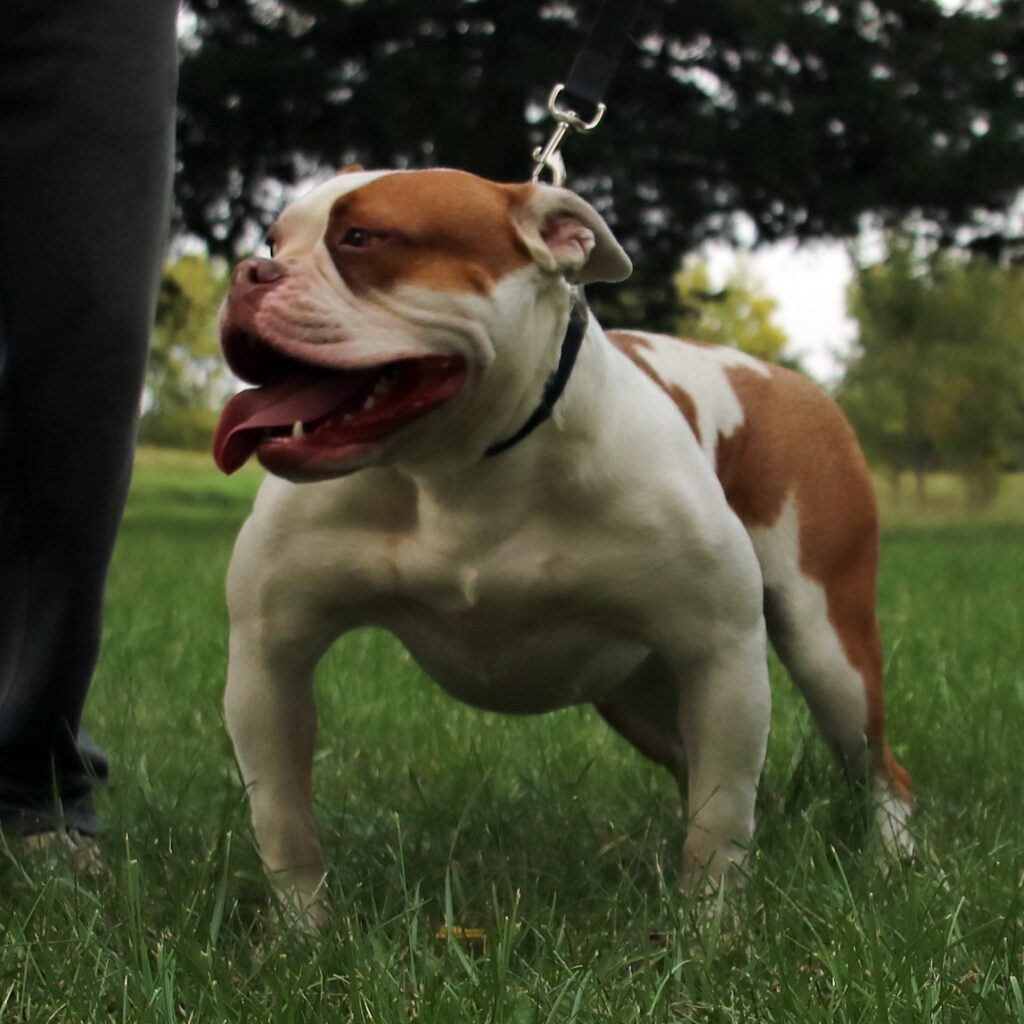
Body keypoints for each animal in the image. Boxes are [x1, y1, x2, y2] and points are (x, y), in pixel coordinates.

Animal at [214, 163, 913, 917]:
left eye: (362, 239)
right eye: (274, 241)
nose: (248, 272)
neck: (463, 466)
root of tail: (779, 377)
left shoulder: (720, 651)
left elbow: (720, 823)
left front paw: (707, 926)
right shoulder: (269, 656)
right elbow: (283, 821)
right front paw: (303, 931)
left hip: (828, 647)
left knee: (875, 764)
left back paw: (893, 859)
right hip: (639, 695)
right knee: (691, 762)